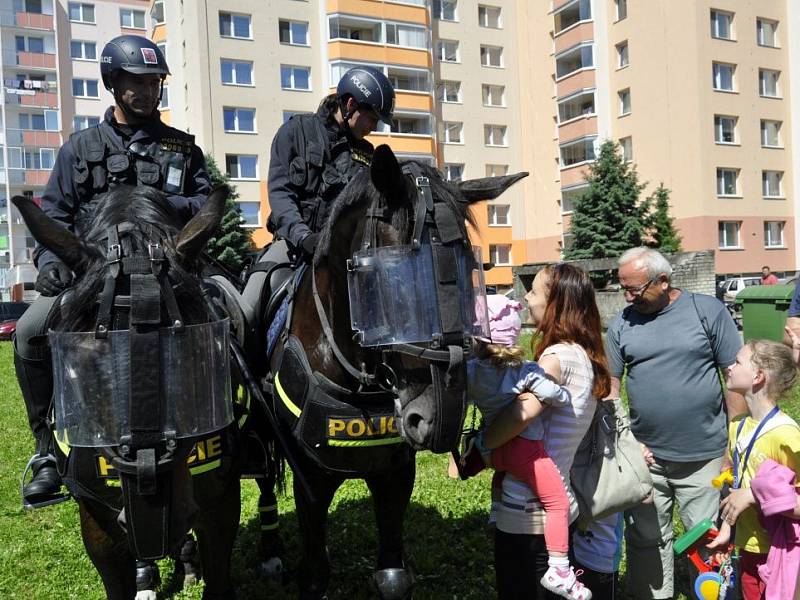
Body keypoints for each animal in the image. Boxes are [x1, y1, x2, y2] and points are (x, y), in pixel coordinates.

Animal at [268, 143, 528, 596]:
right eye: (391, 287)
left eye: (471, 279)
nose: (439, 418)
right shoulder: (309, 483)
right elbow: (315, 572)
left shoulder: (396, 475)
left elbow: (392, 576)